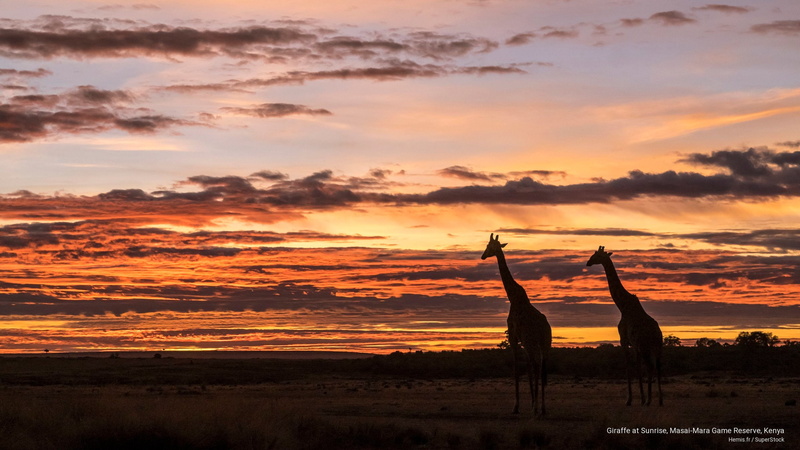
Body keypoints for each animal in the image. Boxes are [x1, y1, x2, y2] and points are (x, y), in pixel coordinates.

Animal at [481, 233, 552, 415]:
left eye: (489, 246)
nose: (482, 256)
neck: (512, 297)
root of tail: (544, 328)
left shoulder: (513, 337)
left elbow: (516, 369)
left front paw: (516, 406)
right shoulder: (521, 340)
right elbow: (527, 368)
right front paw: (530, 401)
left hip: (531, 341)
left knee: (537, 366)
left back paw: (536, 408)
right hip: (545, 343)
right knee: (541, 367)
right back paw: (542, 408)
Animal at [586, 246, 663, 406]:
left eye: (597, 255)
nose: (588, 262)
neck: (622, 306)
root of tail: (656, 334)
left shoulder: (624, 340)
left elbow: (629, 367)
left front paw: (630, 400)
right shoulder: (634, 345)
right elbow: (637, 368)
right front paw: (641, 398)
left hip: (646, 347)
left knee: (650, 367)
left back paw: (649, 401)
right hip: (658, 347)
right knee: (658, 367)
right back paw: (659, 400)